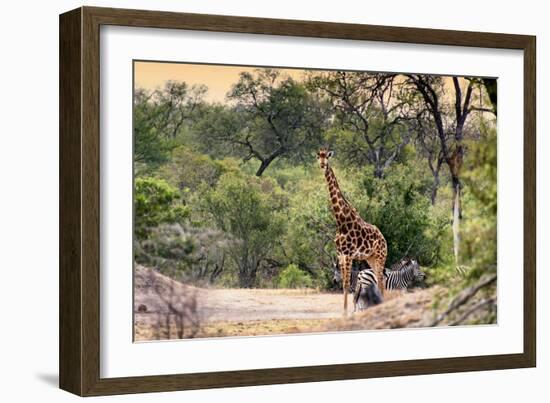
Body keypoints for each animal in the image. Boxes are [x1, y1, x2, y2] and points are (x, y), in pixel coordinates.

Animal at [316, 147, 390, 314]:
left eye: (327, 157)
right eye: (318, 157)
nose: (323, 165)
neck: (341, 221)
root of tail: (383, 238)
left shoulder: (349, 254)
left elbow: (346, 283)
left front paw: (345, 312)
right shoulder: (341, 254)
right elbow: (344, 283)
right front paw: (344, 312)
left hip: (380, 256)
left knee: (381, 281)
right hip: (370, 258)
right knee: (379, 280)